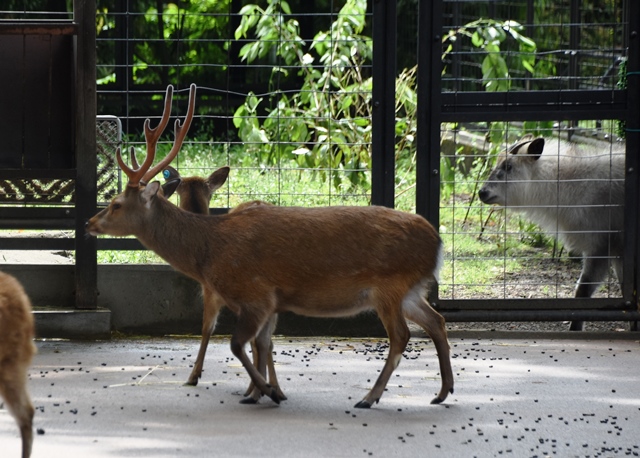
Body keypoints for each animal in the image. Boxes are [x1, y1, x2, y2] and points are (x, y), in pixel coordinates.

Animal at [86, 84, 456, 406]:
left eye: (116, 204)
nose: (90, 223)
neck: (209, 250)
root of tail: (438, 243)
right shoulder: (270, 301)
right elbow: (261, 344)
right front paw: (260, 392)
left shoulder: (254, 294)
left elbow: (237, 344)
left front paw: (267, 391)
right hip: (409, 290)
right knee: (436, 320)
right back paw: (442, 392)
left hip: (388, 286)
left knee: (401, 336)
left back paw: (370, 396)